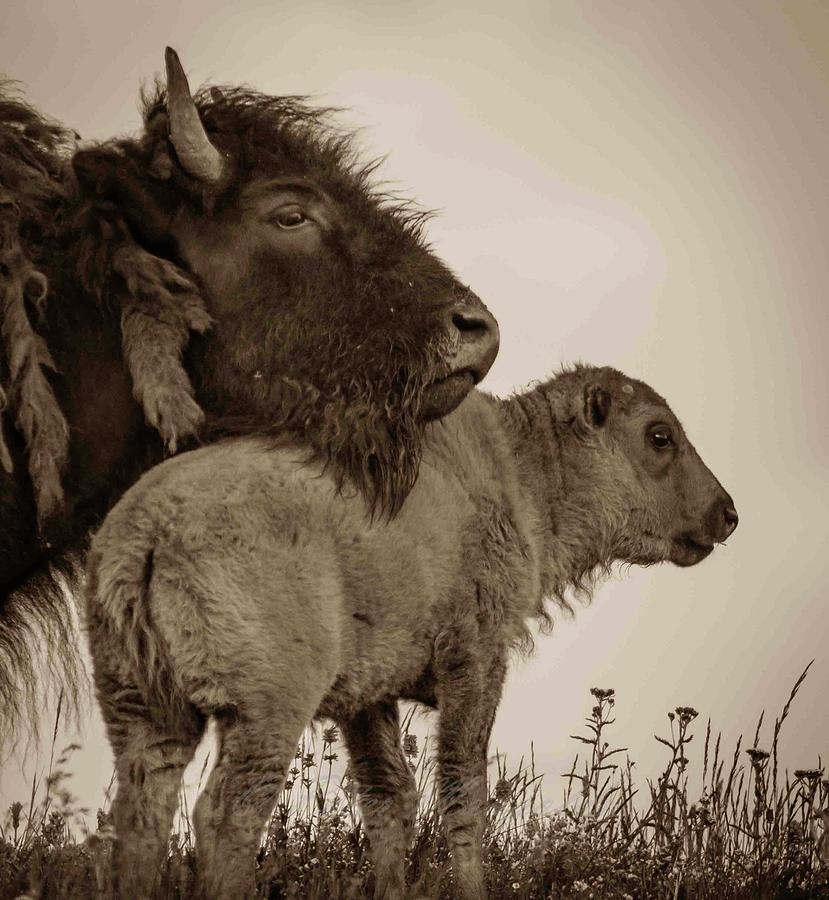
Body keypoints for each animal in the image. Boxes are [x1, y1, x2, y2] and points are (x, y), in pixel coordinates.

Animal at [85, 362, 736, 896]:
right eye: (659, 435)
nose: (727, 514)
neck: (525, 477)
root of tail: (149, 528)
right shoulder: (474, 660)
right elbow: (461, 790)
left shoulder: (366, 697)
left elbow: (388, 802)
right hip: (264, 708)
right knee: (227, 817)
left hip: (144, 709)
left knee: (141, 816)